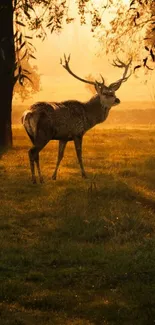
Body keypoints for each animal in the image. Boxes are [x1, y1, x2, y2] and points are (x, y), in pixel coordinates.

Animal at [21, 54, 131, 184]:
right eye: (105, 93)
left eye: (113, 92)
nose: (117, 100)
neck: (88, 117)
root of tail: (28, 114)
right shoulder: (77, 133)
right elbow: (79, 155)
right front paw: (84, 175)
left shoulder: (63, 137)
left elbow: (60, 156)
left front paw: (54, 176)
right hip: (43, 134)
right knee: (32, 152)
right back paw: (35, 179)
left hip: (32, 135)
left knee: (36, 154)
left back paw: (40, 179)